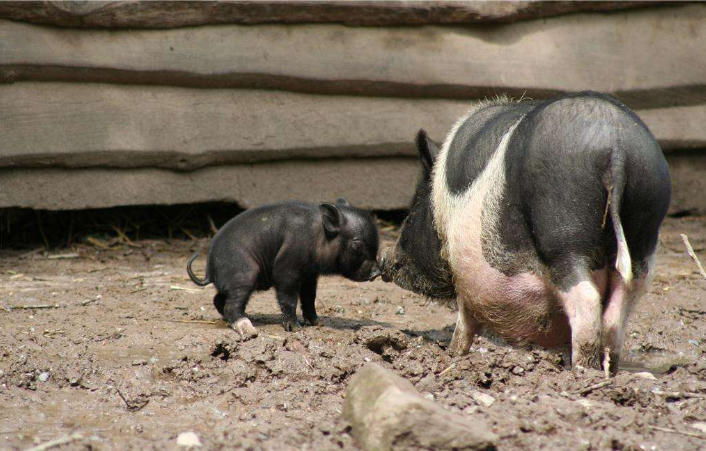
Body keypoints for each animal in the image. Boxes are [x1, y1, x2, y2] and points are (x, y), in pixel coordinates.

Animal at [184, 200, 376, 338]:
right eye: (356, 246)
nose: (376, 271)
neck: (318, 236)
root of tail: (209, 268)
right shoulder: (286, 269)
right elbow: (289, 299)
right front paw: (296, 329)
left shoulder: (310, 275)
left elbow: (309, 298)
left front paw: (318, 323)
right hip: (244, 275)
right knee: (231, 304)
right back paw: (250, 330)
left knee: (218, 299)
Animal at [382, 92, 668, 374]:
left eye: (412, 210)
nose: (386, 262)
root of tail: (615, 148)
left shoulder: (463, 268)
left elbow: (465, 321)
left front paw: (453, 355)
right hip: (643, 230)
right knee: (617, 310)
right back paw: (608, 370)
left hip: (563, 232)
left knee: (586, 301)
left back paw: (580, 371)